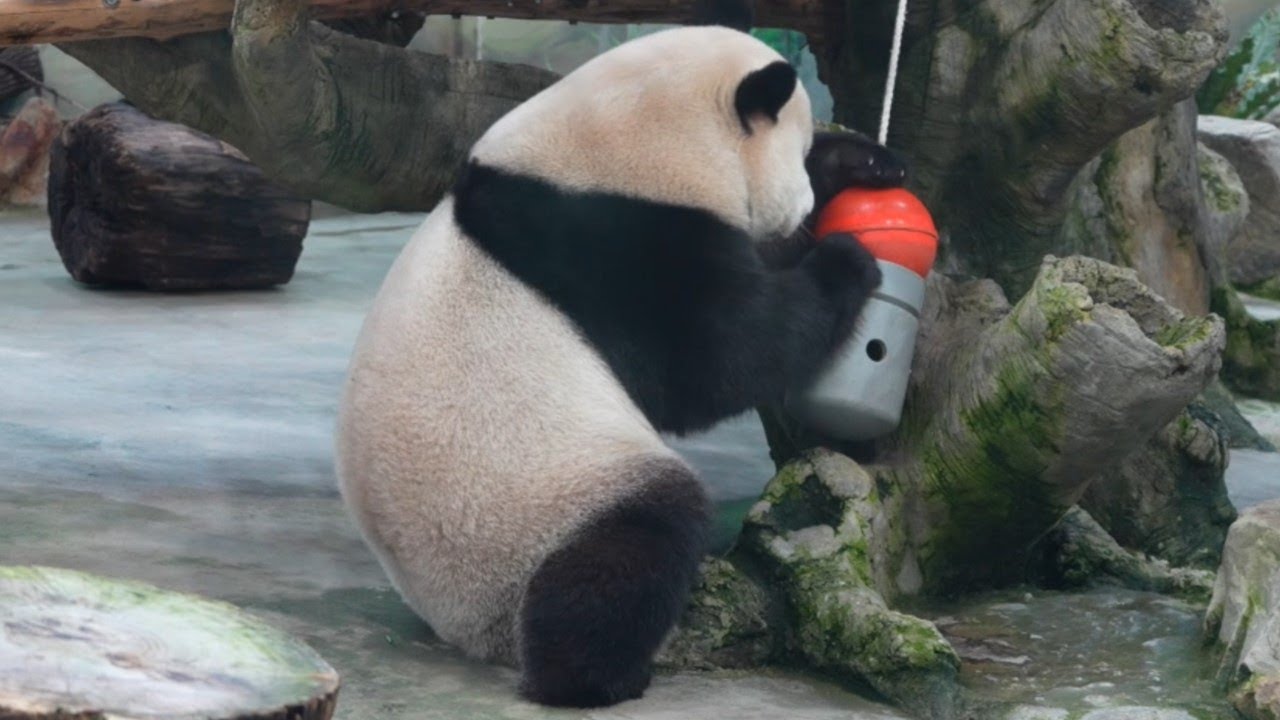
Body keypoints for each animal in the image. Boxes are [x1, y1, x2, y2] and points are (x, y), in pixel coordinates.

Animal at [335, 25, 906, 709]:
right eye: (791, 154)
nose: (802, 206)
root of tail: (468, 629)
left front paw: (864, 164)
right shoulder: (615, 242)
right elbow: (718, 358)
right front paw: (845, 260)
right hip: (536, 507)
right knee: (634, 544)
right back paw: (592, 676)